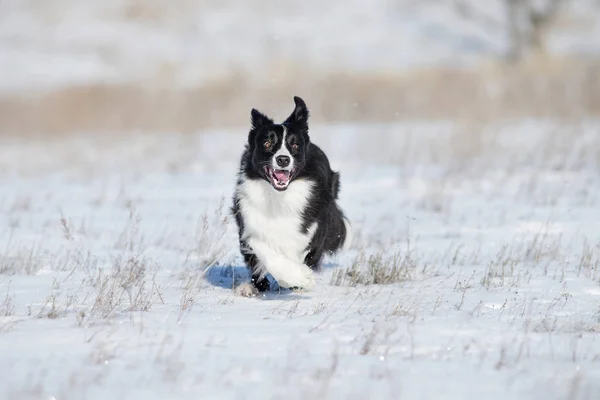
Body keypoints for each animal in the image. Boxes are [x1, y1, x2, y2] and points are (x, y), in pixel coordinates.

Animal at [231, 95, 352, 292]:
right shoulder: (249, 221)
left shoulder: (310, 229)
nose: (283, 159)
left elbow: (300, 251)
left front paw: (299, 278)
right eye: (267, 143)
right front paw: (297, 277)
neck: (278, 197)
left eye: (295, 145)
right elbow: (261, 248)